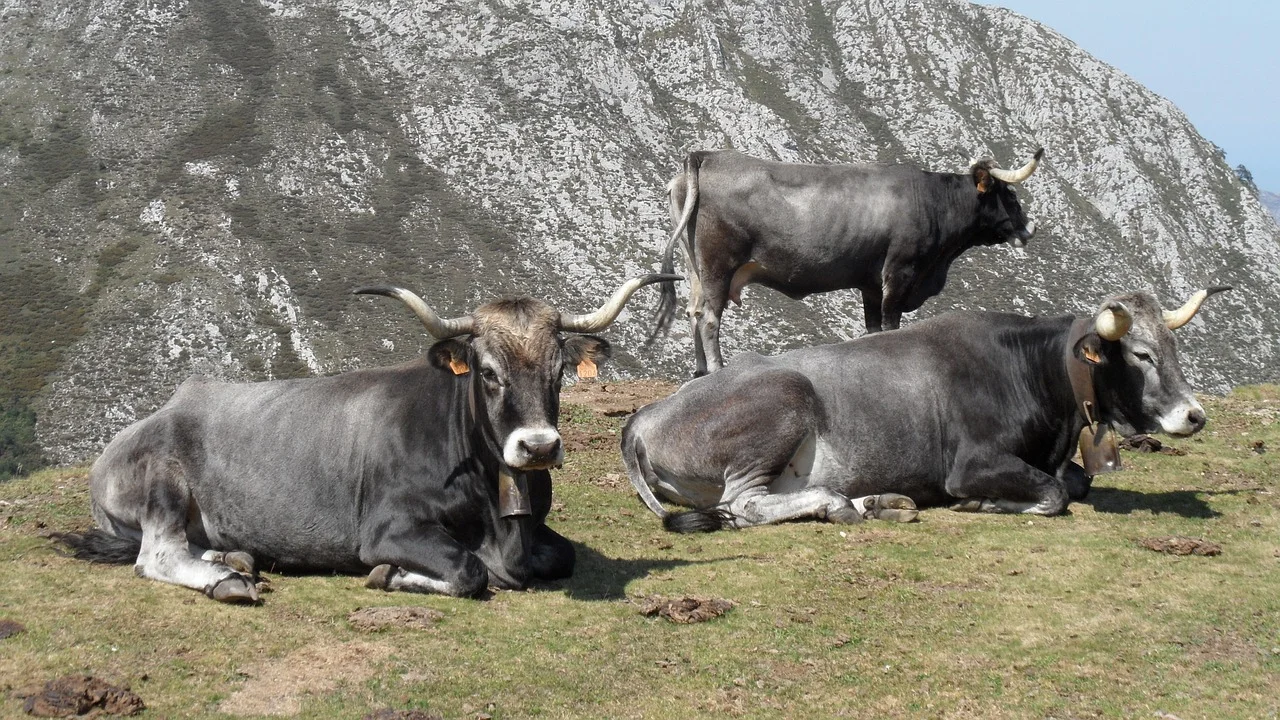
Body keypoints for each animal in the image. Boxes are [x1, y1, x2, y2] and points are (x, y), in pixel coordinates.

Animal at [57, 274, 680, 599]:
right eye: (488, 372)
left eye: (557, 372)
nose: (539, 447)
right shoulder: (387, 528)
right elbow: (468, 571)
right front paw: (395, 576)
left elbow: (562, 556)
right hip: (161, 484)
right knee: (155, 554)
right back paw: (226, 580)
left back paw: (233, 557)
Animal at [622, 283, 1228, 530]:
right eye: (1141, 354)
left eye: (1174, 347)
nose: (1194, 415)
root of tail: (642, 416)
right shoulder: (972, 464)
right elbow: (1055, 494)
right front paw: (984, 506)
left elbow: (1075, 482)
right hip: (782, 401)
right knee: (745, 505)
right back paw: (839, 505)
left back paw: (879, 502)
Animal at [655, 149, 1044, 379]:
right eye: (1009, 194)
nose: (1030, 227)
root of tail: (707, 156)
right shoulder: (898, 274)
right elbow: (891, 326)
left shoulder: (870, 285)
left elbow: (872, 330)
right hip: (719, 266)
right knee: (709, 319)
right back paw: (716, 369)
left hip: (696, 270)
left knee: (693, 312)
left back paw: (699, 371)